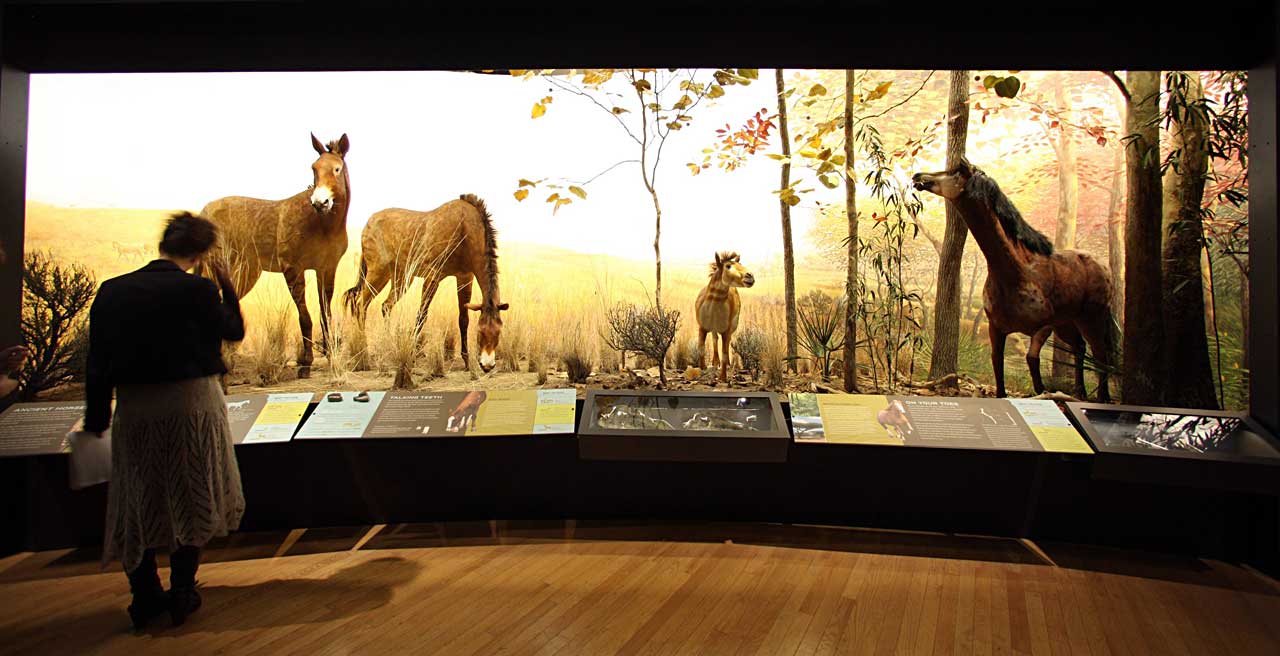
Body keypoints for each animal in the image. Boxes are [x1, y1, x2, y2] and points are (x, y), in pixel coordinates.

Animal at [200, 131, 353, 379]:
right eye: (313, 168)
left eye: (337, 169)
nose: (320, 202)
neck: (323, 225)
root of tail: (204, 210)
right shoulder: (293, 269)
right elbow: (305, 317)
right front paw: (305, 364)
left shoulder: (327, 269)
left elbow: (325, 314)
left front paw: (331, 357)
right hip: (219, 267)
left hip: (245, 272)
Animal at [348, 192, 512, 371]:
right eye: (480, 331)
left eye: (498, 332)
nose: (487, 365)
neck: (464, 229)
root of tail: (368, 223)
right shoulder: (433, 276)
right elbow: (421, 315)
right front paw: (412, 356)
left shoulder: (465, 277)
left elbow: (463, 319)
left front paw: (467, 361)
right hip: (378, 272)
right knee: (360, 304)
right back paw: (362, 349)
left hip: (401, 278)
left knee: (386, 306)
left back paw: (387, 343)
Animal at [696, 251, 752, 384]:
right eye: (728, 266)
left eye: (740, 264)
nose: (750, 276)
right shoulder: (702, 328)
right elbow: (701, 349)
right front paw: (703, 369)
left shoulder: (726, 331)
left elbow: (725, 354)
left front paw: (723, 378)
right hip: (714, 329)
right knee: (715, 339)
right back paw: (715, 362)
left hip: (730, 329)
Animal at [911, 158, 1111, 399]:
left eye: (956, 172)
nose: (918, 177)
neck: (1014, 273)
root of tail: (1103, 266)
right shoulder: (996, 327)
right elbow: (998, 363)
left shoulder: (1042, 327)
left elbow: (1032, 361)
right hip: (1067, 323)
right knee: (1080, 347)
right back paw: (1081, 392)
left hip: (1092, 318)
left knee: (1100, 354)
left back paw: (1102, 397)